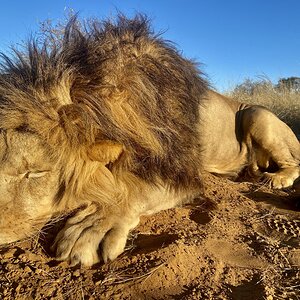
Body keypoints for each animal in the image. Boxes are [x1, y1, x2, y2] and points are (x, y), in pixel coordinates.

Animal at [0, 15, 298, 266]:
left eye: (34, 173)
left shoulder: (182, 173)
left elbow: (138, 190)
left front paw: (93, 225)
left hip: (256, 114)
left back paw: (276, 179)